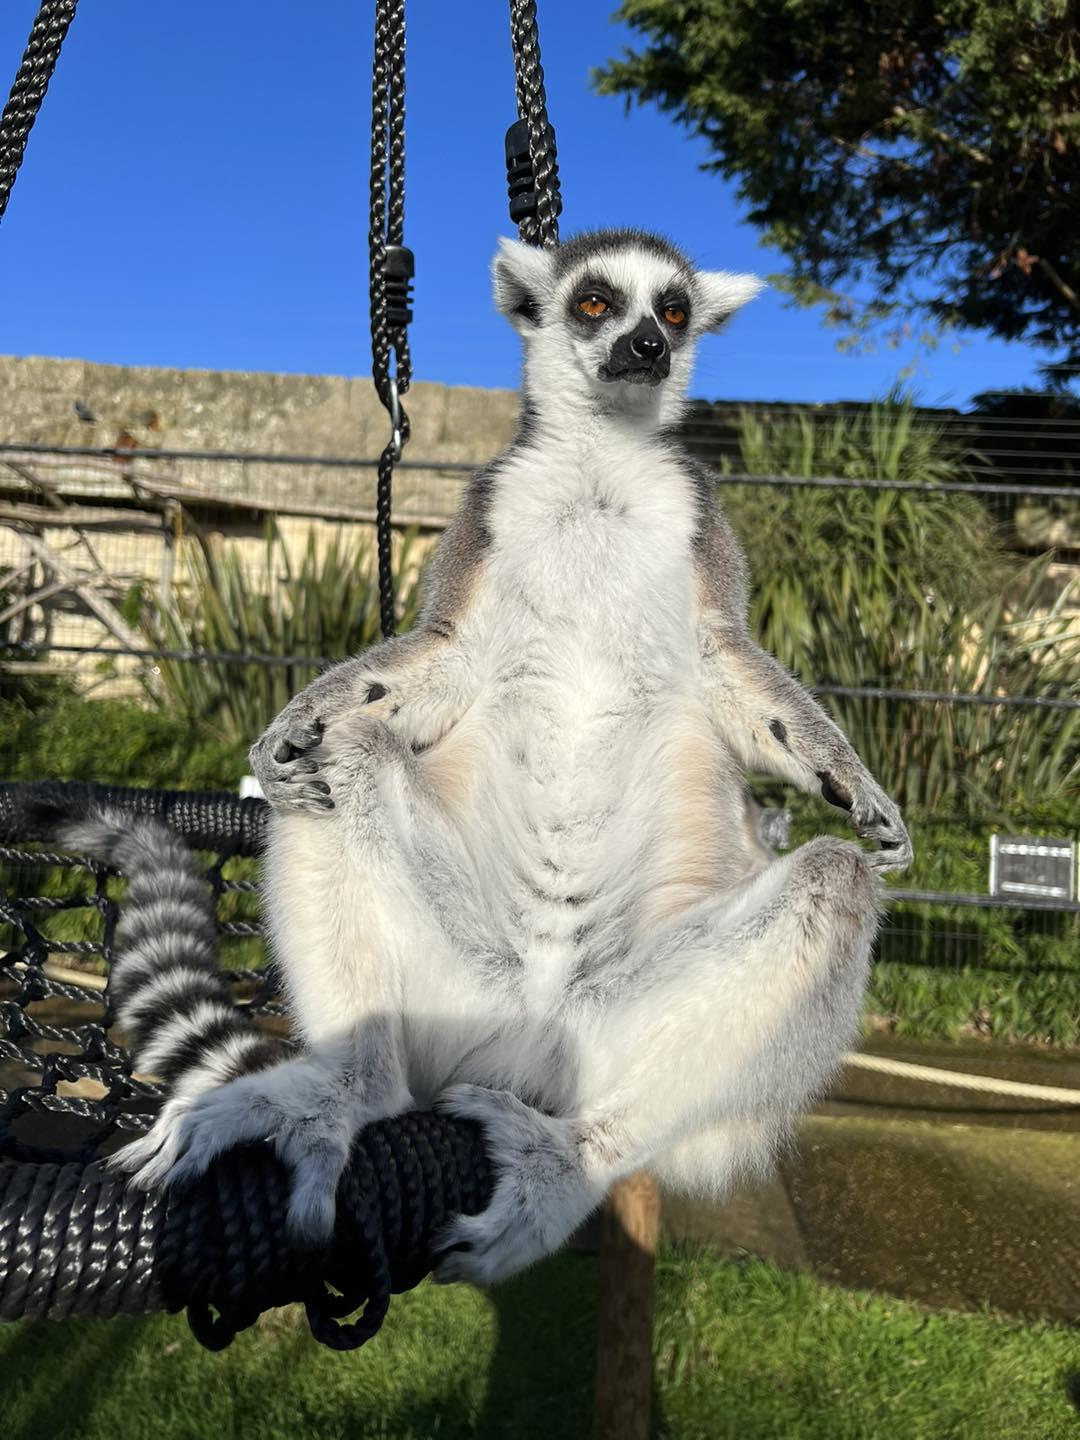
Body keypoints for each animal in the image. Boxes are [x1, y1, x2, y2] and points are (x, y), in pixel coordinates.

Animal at [97, 228, 912, 1285]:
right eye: (598, 303)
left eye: (674, 311)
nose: (648, 347)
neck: (598, 471)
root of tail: (523, 1047)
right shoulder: (488, 515)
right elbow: (440, 662)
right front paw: (294, 722)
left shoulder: (703, 528)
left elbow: (733, 672)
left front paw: (852, 782)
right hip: (453, 990)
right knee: (340, 761)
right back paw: (338, 1095)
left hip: (618, 1034)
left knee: (833, 888)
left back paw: (566, 1164)